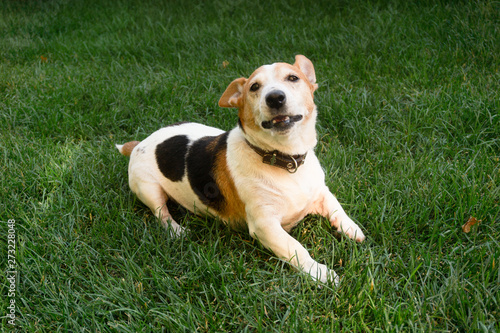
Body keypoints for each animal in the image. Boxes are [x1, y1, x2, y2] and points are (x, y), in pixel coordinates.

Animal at [118, 54, 366, 282]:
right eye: (254, 87)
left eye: (293, 78)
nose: (275, 97)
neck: (285, 160)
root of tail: (138, 143)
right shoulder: (265, 225)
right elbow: (296, 248)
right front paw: (320, 272)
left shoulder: (320, 192)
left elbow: (337, 208)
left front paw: (352, 228)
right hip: (148, 188)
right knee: (161, 213)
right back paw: (176, 230)